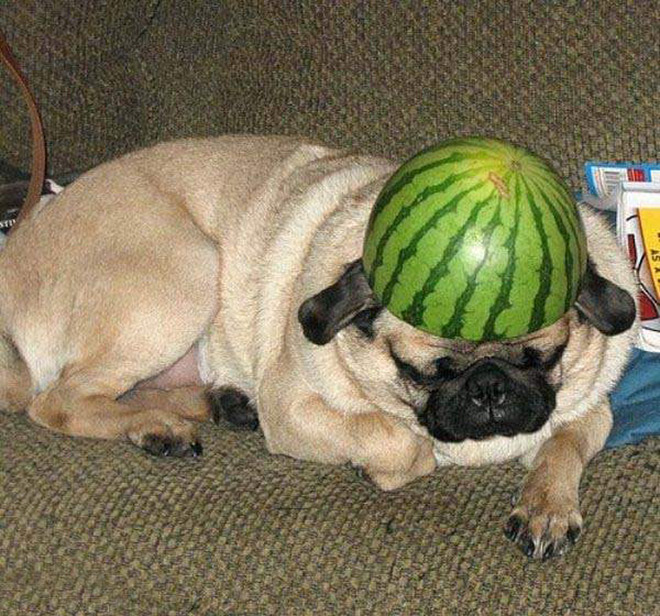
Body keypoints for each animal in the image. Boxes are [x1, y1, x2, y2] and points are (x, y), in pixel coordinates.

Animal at [1, 136, 640, 560]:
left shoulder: (590, 406)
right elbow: (405, 447)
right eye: (422, 372)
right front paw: (383, 463)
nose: (489, 387)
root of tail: (15, 253)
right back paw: (159, 426)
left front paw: (546, 506)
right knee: (55, 401)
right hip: (185, 272)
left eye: (543, 358)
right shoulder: (294, 409)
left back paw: (212, 407)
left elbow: (565, 444)